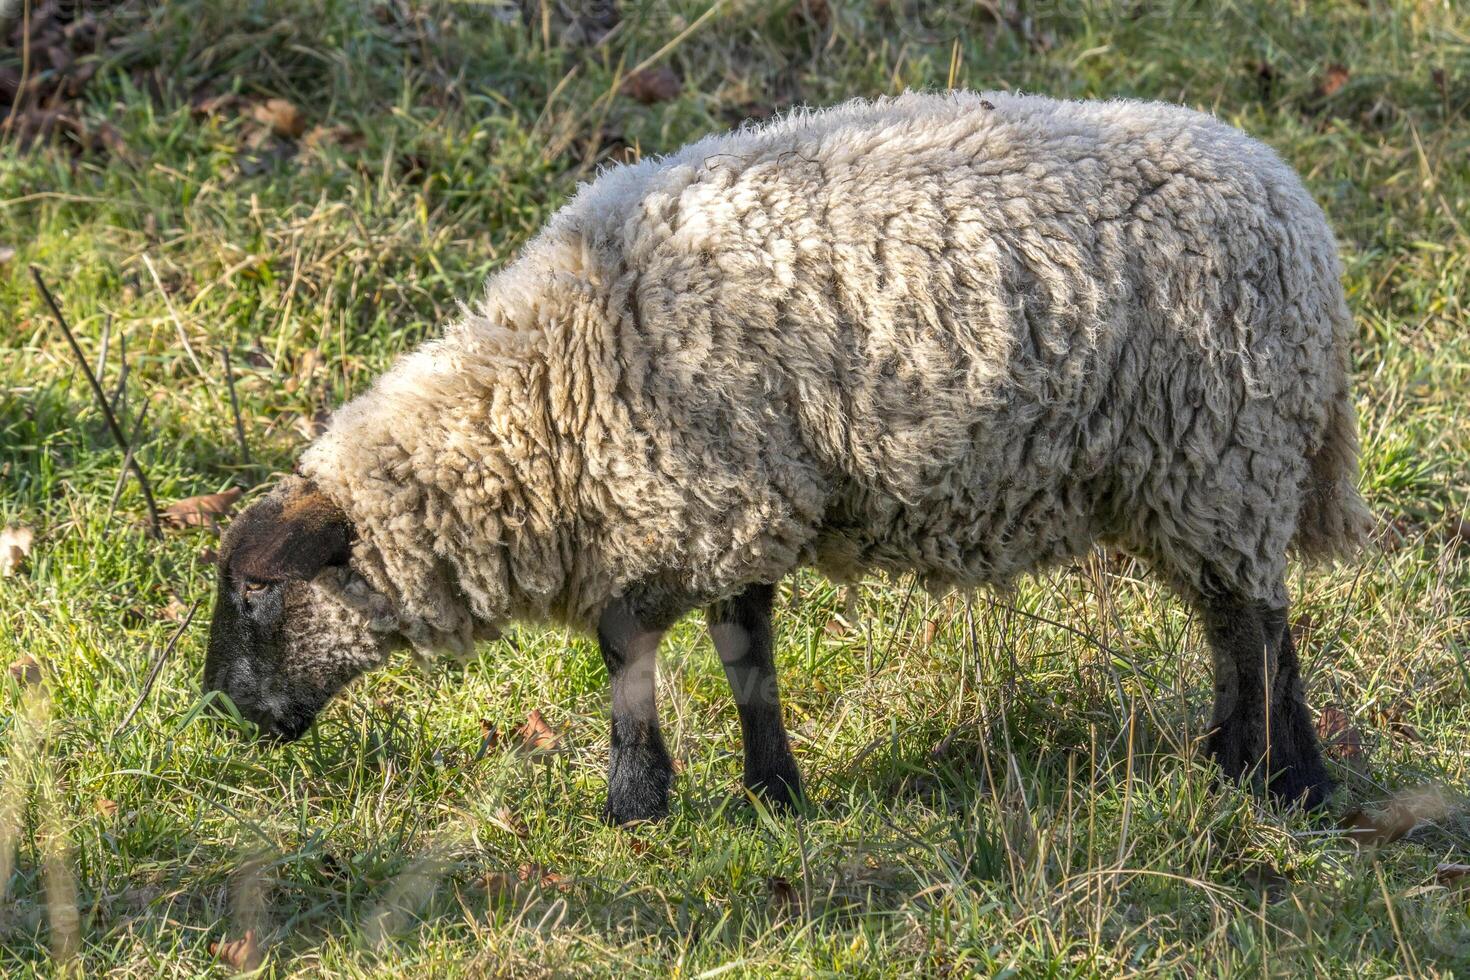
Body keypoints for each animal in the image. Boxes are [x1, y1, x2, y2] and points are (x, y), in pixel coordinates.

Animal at [201, 91, 1370, 822]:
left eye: (256, 592)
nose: (217, 709)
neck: (549, 394)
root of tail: (1302, 214)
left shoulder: (708, 497)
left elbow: (629, 644)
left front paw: (637, 802)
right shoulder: (742, 507)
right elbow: (744, 649)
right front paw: (771, 792)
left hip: (1220, 451)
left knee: (1250, 622)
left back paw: (1262, 777)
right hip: (1200, 473)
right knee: (1248, 614)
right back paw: (1278, 771)